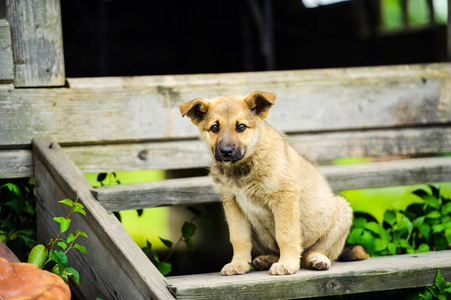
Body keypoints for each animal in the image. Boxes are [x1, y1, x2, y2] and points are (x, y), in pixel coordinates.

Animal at [180, 92, 368, 276]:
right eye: (214, 128)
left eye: (241, 127)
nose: (226, 152)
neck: (242, 169)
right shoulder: (232, 203)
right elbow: (238, 237)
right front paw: (238, 264)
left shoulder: (284, 197)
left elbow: (286, 234)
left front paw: (287, 264)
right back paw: (266, 260)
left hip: (342, 209)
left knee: (312, 253)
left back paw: (316, 259)